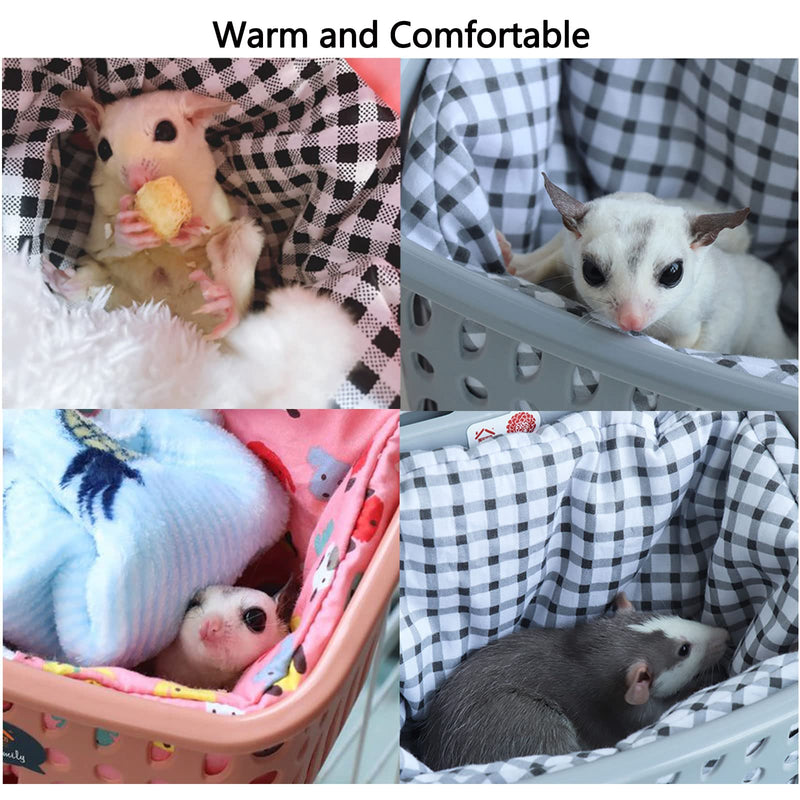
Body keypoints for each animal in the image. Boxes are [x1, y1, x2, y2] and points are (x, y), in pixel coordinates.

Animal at [55, 89, 264, 340]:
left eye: (165, 131)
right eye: (103, 149)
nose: (137, 182)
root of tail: (171, 314)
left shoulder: (216, 201)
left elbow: (207, 231)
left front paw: (189, 233)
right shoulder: (99, 217)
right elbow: (105, 247)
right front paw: (128, 231)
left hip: (242, 242)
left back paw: (223, 306)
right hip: (107, 285)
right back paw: (61, 280)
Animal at [418, 592, 729, 770]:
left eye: (671, 615)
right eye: (684, 650)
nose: (724, 634)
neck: (589, 657)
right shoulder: (625, 714)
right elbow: (652, 715)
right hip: (529, 721)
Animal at [498, 174, 795, 359]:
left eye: (672, 274)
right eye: (592, 272)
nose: (632, 320)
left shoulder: (686, 321)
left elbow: (686, 342)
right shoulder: (567, 252)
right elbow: (549, 263)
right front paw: (517, 269)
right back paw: (511, 257)